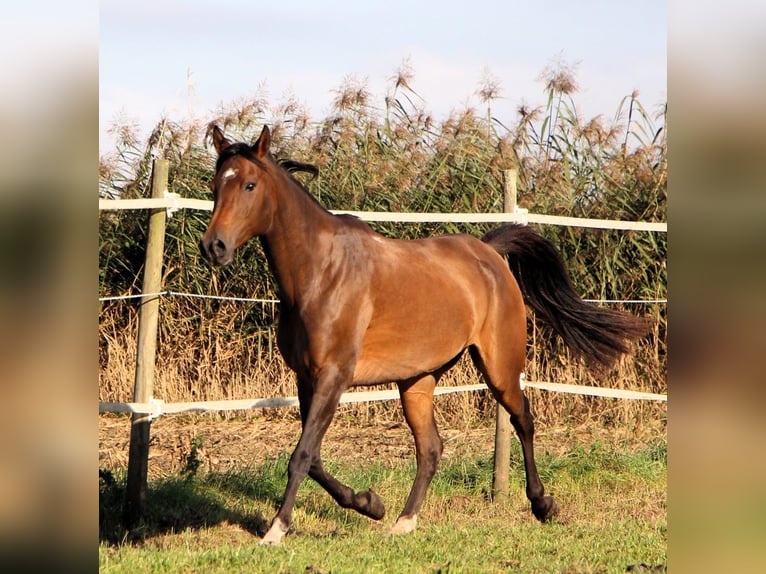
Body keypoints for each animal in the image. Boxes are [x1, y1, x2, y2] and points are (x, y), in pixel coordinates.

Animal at [200, 124, 648, 548]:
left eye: (250, 185)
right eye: (215, 185)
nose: (213, 247)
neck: (320, 273)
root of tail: (488, 253)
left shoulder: (334, 376)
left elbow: (302, 454)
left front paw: (276, 530)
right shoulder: (306, 379)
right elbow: (314, 459)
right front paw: (370, 503)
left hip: (500, 367)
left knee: (523, 419)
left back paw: (542, 504)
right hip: (418, 379)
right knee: (431, 448)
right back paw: (403, 521)